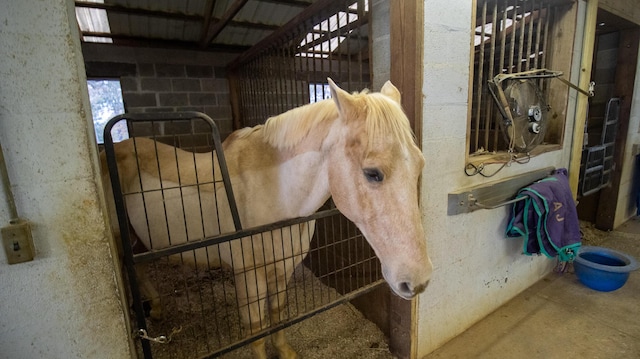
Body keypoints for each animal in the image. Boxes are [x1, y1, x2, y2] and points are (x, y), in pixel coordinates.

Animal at [102, 79, 432, 359]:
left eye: (420, 165)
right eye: (372, 173)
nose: (418, 281)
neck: (275, 192)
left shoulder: (283, 268)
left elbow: (278, 314)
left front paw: (285, 351)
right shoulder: (249, 278)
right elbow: (256, 329)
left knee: (139, 269)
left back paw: (156, 309)